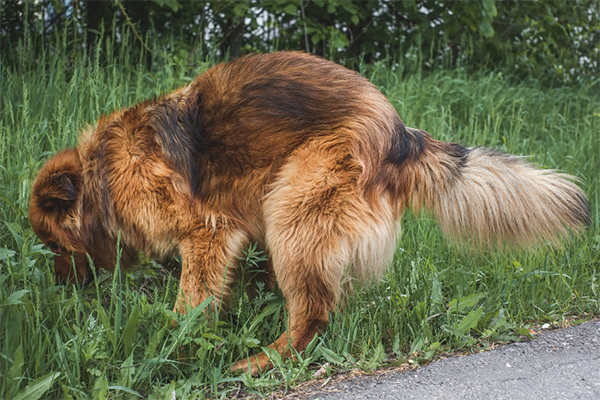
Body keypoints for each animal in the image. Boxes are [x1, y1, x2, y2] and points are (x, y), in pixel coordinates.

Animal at [29, 51, 592, 374]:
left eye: (53, 246)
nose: (59, 288)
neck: (104, 173)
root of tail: (400, 135)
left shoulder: (208, 230)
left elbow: (191, 301)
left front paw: (173, 344)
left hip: (292, 212)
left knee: (313, 317)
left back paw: (260, 361)